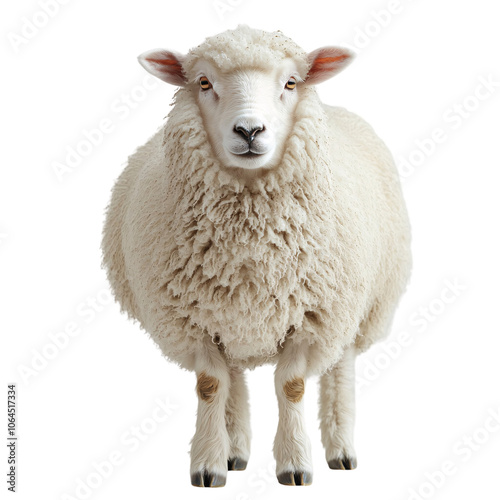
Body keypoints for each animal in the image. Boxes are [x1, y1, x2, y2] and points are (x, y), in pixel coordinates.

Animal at [100, 24, 410, 488]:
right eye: (204, 82)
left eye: (291, 83)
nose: (249, 130)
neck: (249, 242)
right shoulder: (196, 320)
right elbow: (210, 385)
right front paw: (209, 465)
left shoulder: (312, 317)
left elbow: (292, 386)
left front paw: (296, 464)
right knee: (233, 377)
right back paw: (235, 451)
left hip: (358, 304)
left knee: (340, 366)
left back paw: (341, 450)